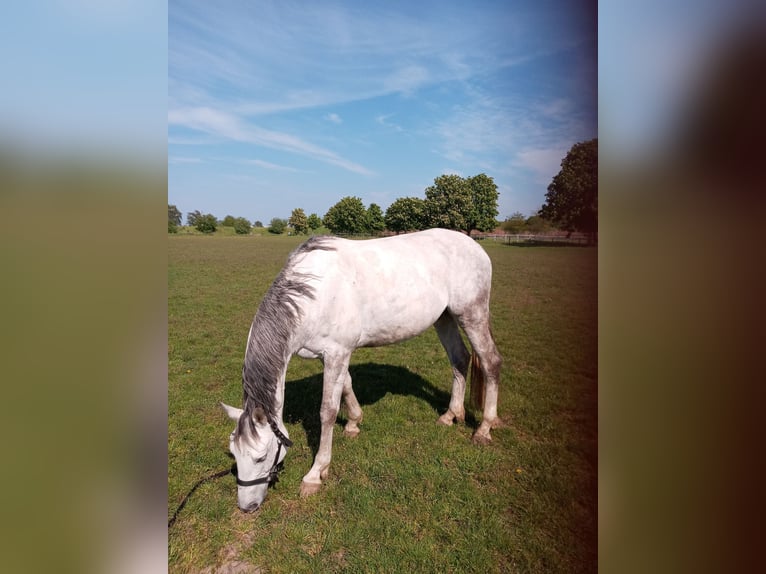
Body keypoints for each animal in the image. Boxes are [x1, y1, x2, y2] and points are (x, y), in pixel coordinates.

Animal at [220, 230, 504, 512]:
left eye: (261, 457)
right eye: (234, 454)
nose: (247, 506)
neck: (315, 294)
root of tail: (473, 245)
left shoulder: (337, 353)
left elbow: (327, 411)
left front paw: (315, 474)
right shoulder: (332, 355)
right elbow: (346, 385)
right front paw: (354, 423)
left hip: (472, 314)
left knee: (490, 362)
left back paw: (484, 429)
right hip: (444, 317)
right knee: (459, 359)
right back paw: (450, 415)